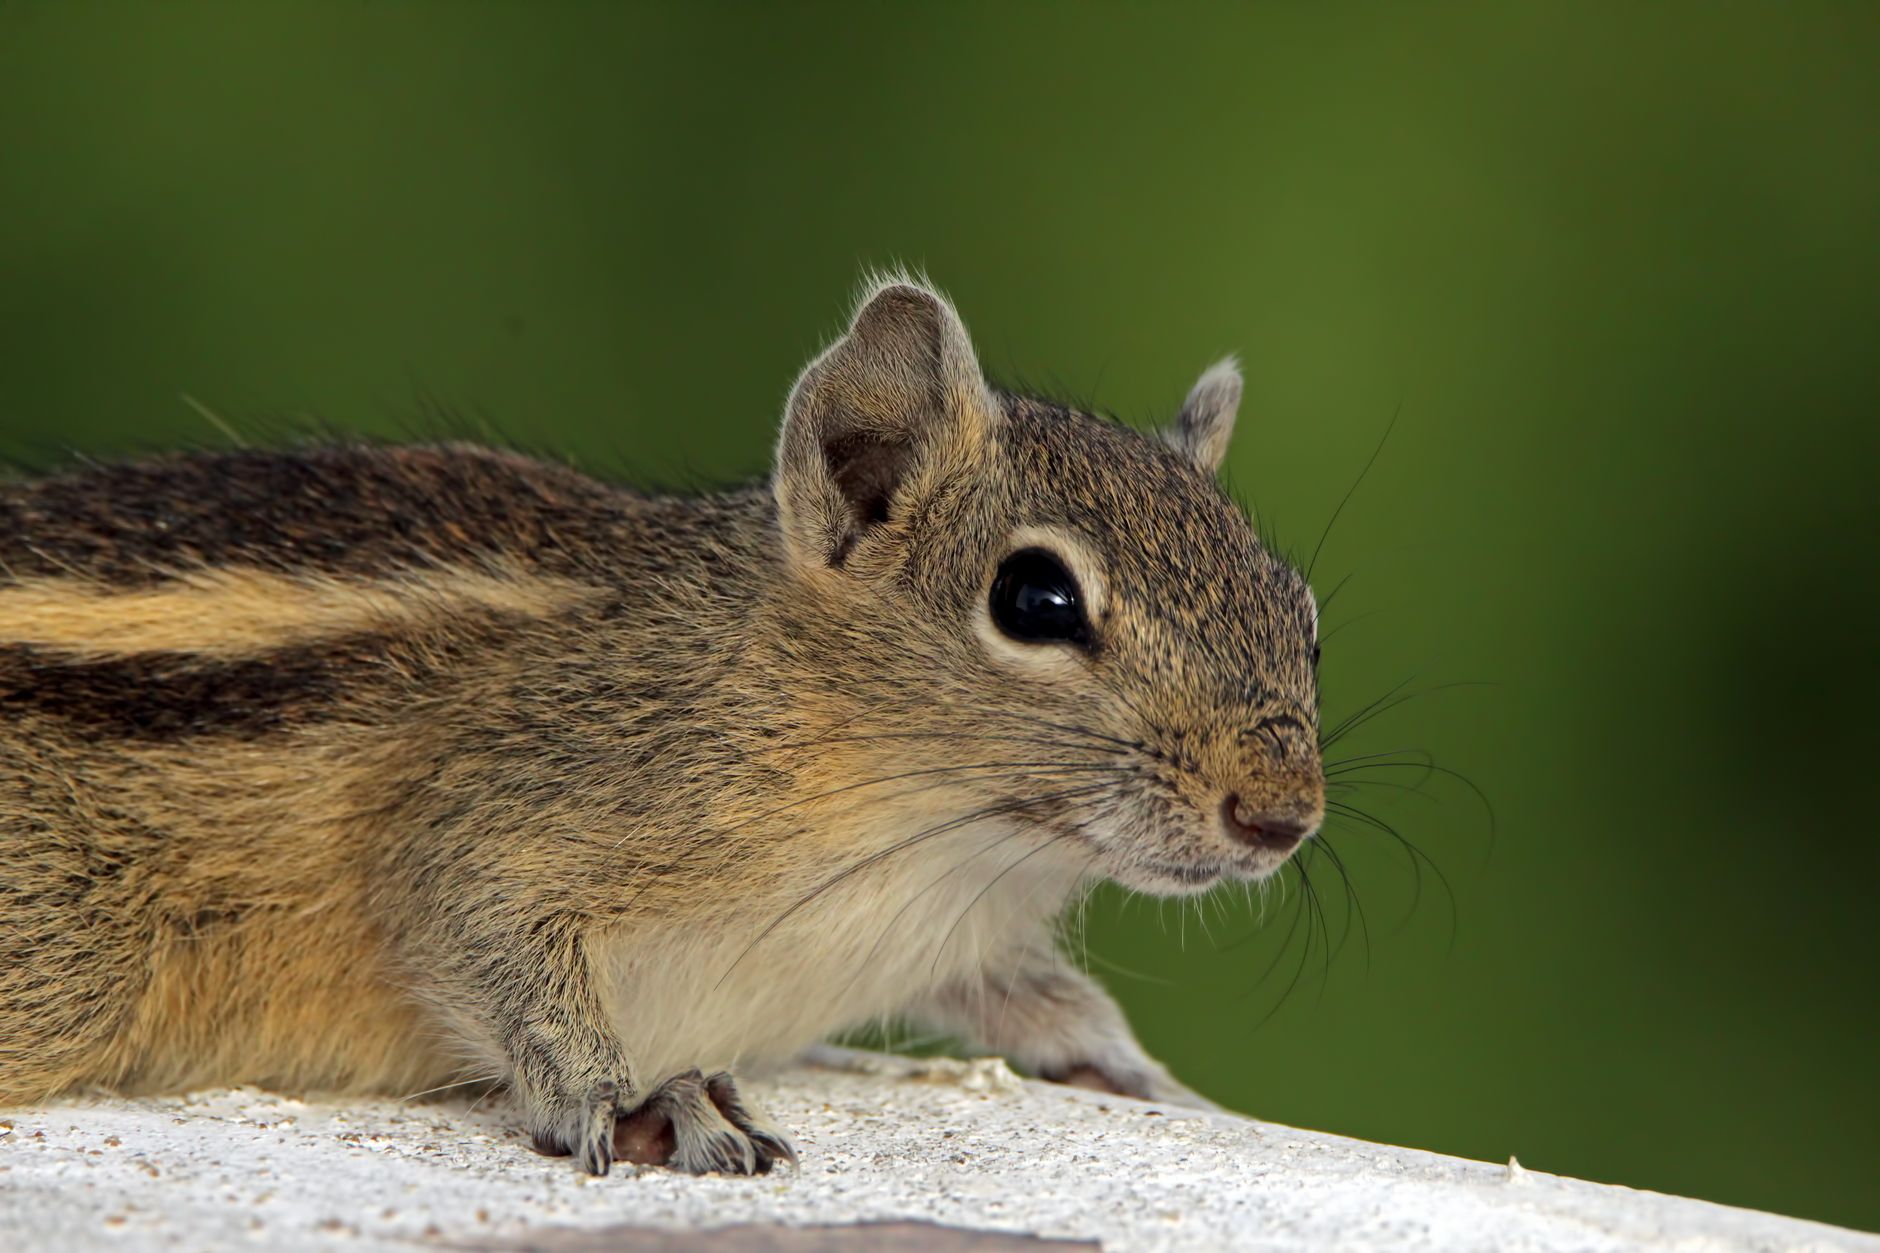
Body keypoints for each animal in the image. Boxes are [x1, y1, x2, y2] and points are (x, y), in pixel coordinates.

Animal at [0, 276, 1325, 1176]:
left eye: (1301, 610)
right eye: (1034, 599)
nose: (1279, 816)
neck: (936, 835)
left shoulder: (961, 935)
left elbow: (1041, 1003)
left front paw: (1140, 1074)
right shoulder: (509, 802)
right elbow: (478, 924)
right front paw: (638, 1098)